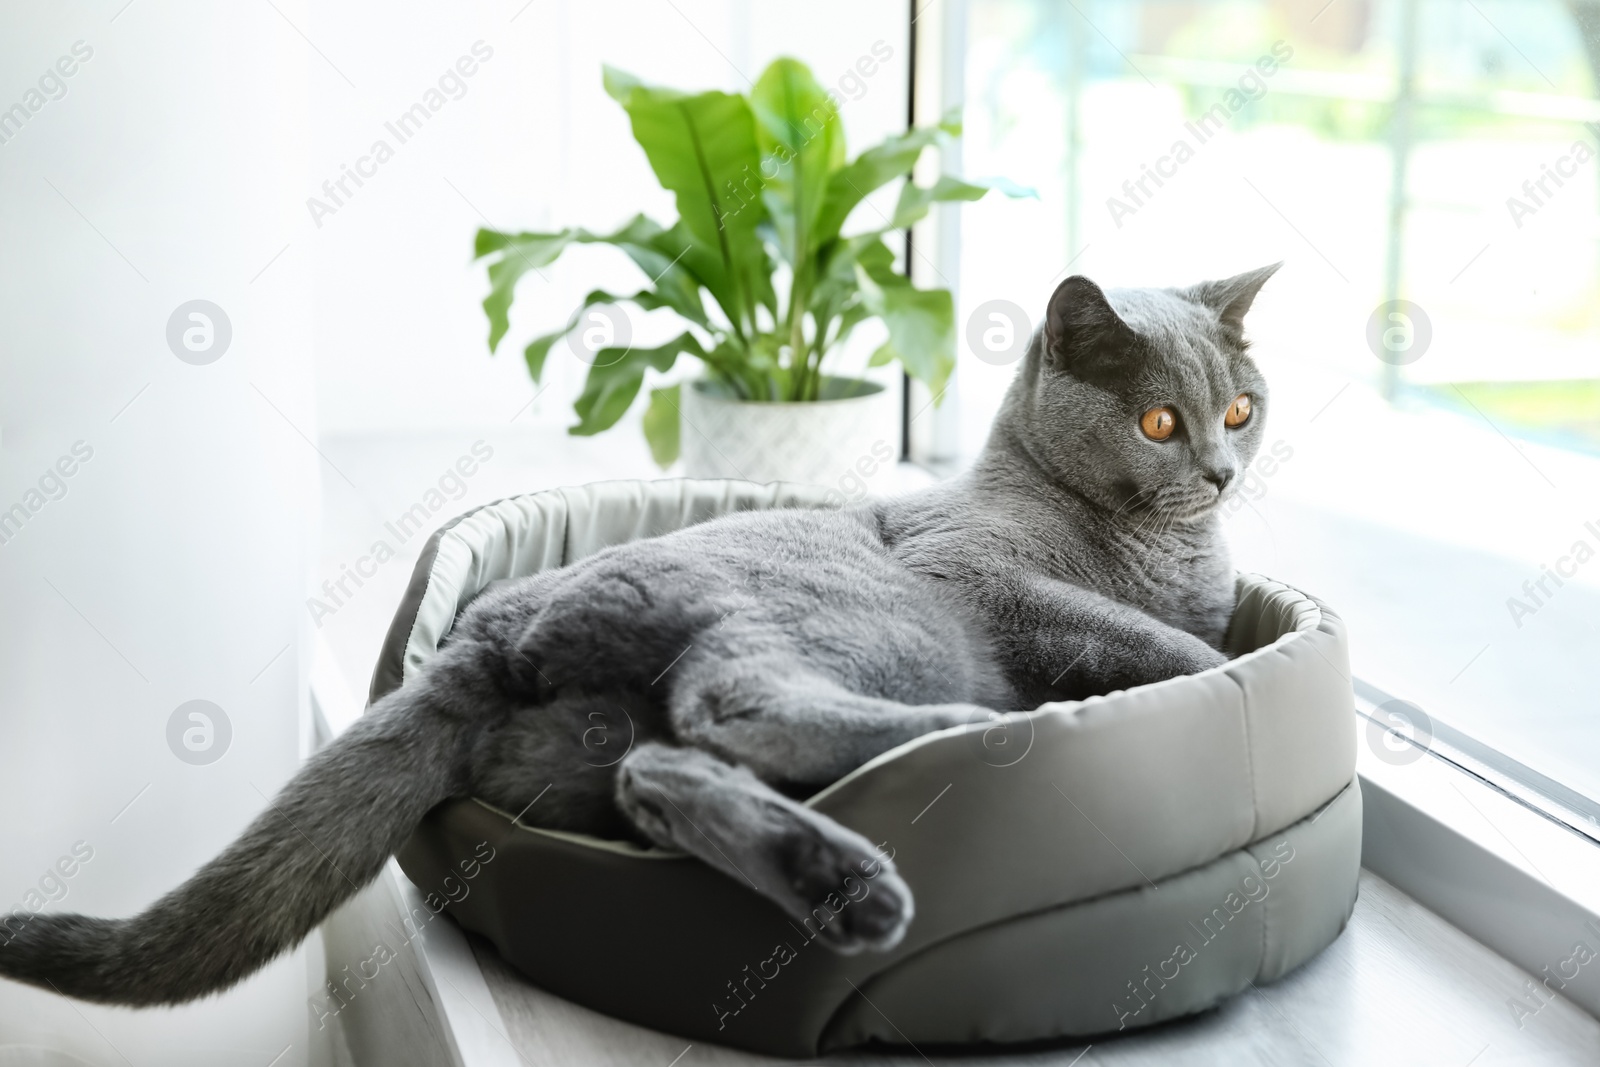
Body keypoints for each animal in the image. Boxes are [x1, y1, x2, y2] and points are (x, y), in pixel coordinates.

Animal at [0, 262, 1273, 1004]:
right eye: (1160, 422)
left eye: (1241, 410)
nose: (1220, 468)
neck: (1167, 551)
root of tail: (489, 631)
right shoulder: (978, 570)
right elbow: (1151, 636)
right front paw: (1215, 666)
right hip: (860, 619)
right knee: (722, 710)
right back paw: (951, 744)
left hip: (587, 754)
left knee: (658, 773)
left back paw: (843, 878)